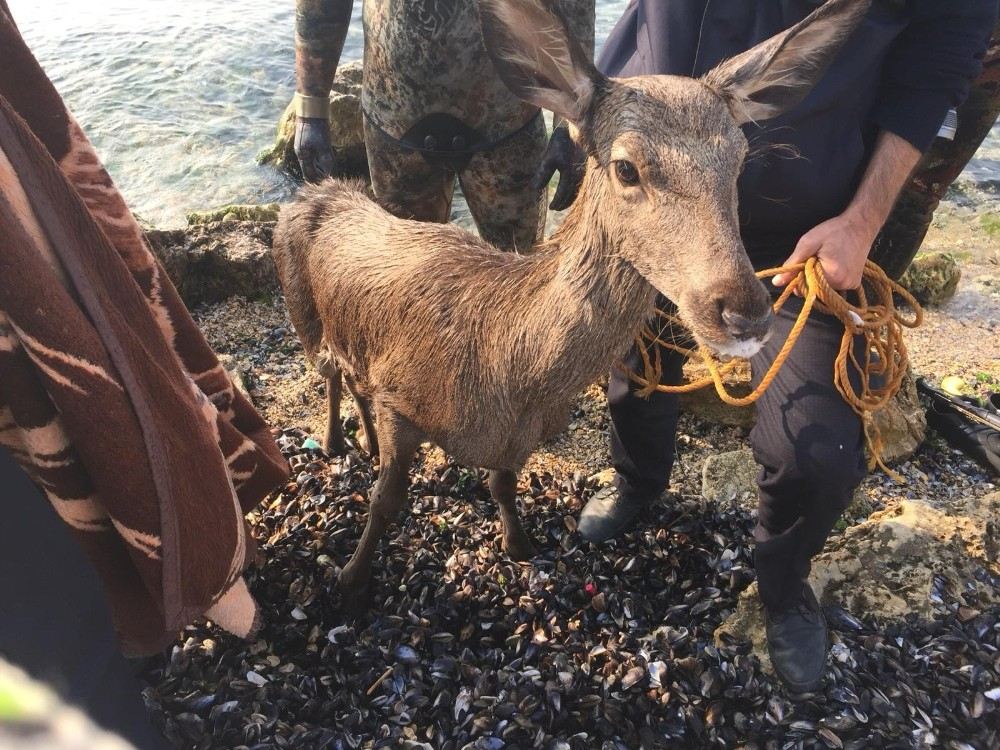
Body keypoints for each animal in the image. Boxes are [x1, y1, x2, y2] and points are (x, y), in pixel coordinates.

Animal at [274, 0, 868, 604]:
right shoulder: (402, 399)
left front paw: (519, 546)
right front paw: (351, 580)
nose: (744, 310)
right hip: (301, 314)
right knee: (330, 372)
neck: (505, 369)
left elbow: (502, 484)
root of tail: (311, 192)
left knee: (351, 377)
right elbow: (385, 502)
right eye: (626, 167)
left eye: (741, 159)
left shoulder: (514, 439)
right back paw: (333, 441)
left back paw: (361, 442)